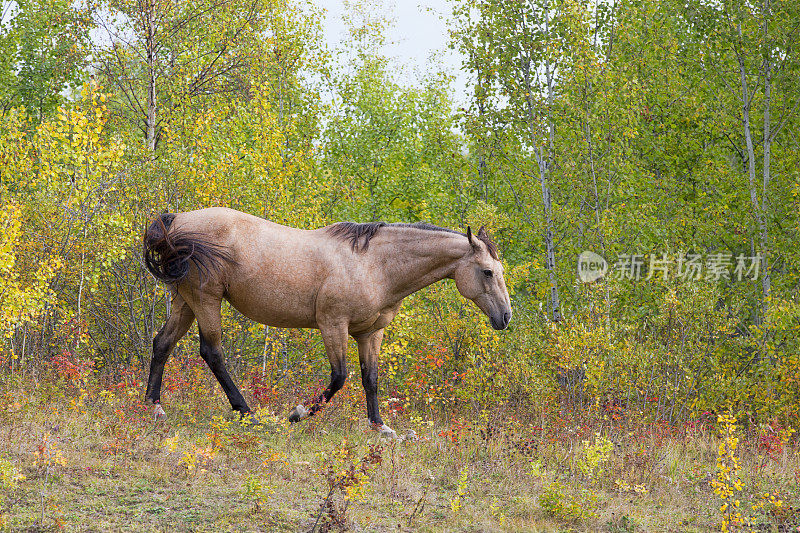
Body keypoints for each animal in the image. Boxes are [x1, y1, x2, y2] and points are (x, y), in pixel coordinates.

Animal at [142, 206, 512, 434]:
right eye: (487, 272)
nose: (505, 317)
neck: (374, 264)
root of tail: (176, 221)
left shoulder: (370, 333)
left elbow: (370, 379)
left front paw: (379, 427)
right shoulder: (333, 325)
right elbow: (339, 378)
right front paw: (297, 414)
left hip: (185, 300)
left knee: (163, 343)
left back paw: (154, 407)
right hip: (206, 299)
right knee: (212, 352)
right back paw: (247, 413)